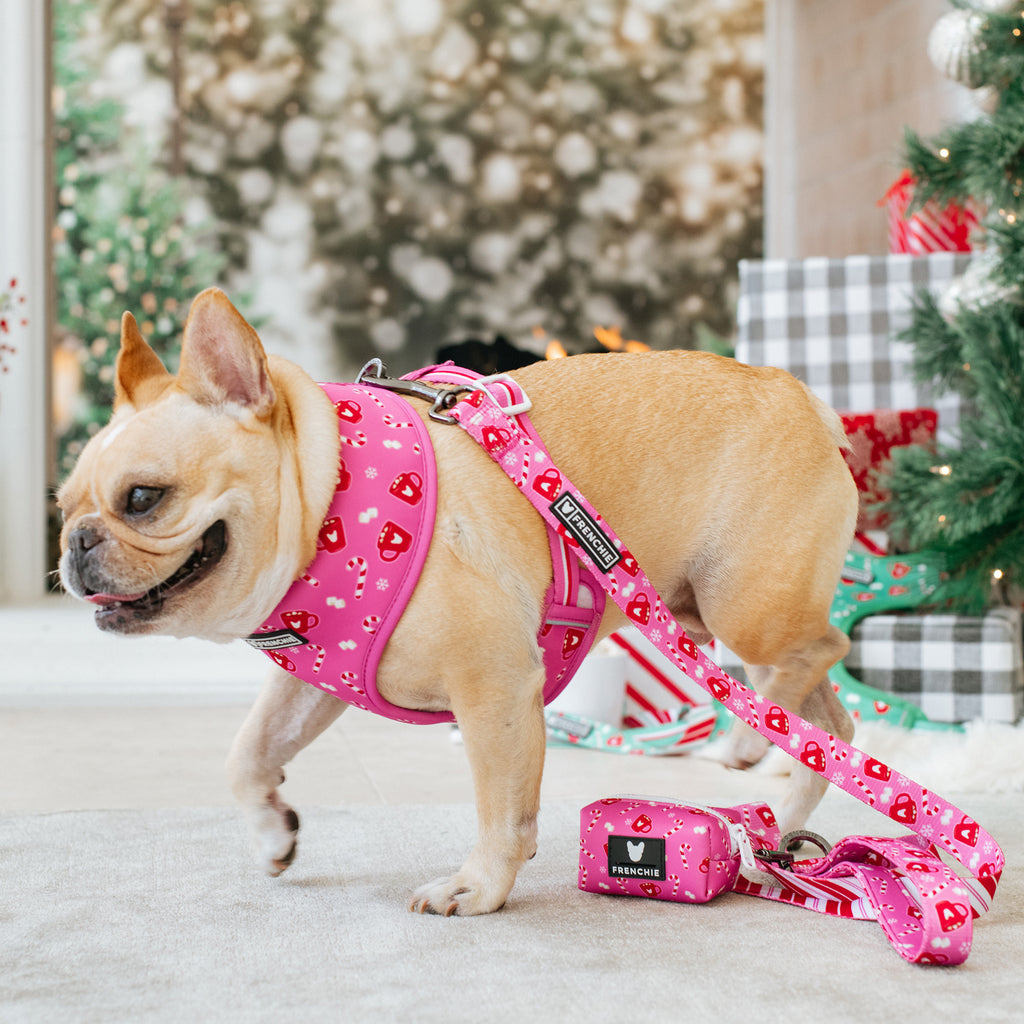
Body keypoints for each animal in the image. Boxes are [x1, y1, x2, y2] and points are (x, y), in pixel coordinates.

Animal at [58, 287, 858, 916]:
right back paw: (776, 827)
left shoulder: (496, 689)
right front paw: (272, 832)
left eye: (143, 498)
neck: (330, 497)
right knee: (827, 727)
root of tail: (800, 394)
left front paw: (477, 889)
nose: (75, 541)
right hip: (702, 609)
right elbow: (249, 751)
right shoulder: (315, 682)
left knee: (821, 655)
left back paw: (750, 747)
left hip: (744, 608)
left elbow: (502, 808)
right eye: (63, 505)